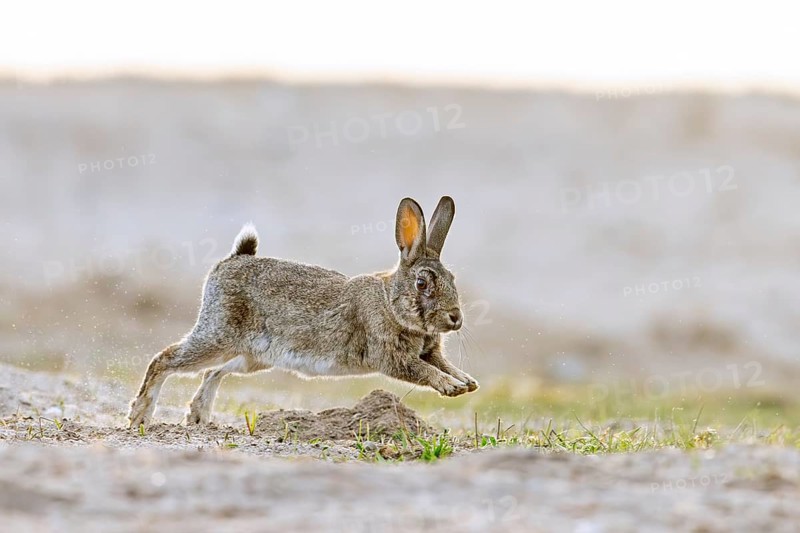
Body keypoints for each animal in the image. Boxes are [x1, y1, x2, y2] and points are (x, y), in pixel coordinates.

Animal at [128, 196, 478, 427]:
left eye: (452, 278)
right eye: (422, 283)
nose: (456, 318)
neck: (390, 302)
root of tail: (233, 260)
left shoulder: (430, 352)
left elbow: (444, 364)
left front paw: (467, 383)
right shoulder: (392, 356)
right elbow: (423, 371)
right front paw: (451, 387)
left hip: (253, 357)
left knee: (213, 372)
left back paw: (198, 417)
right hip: (218, 336)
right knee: (165, 359)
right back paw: (140, 415)